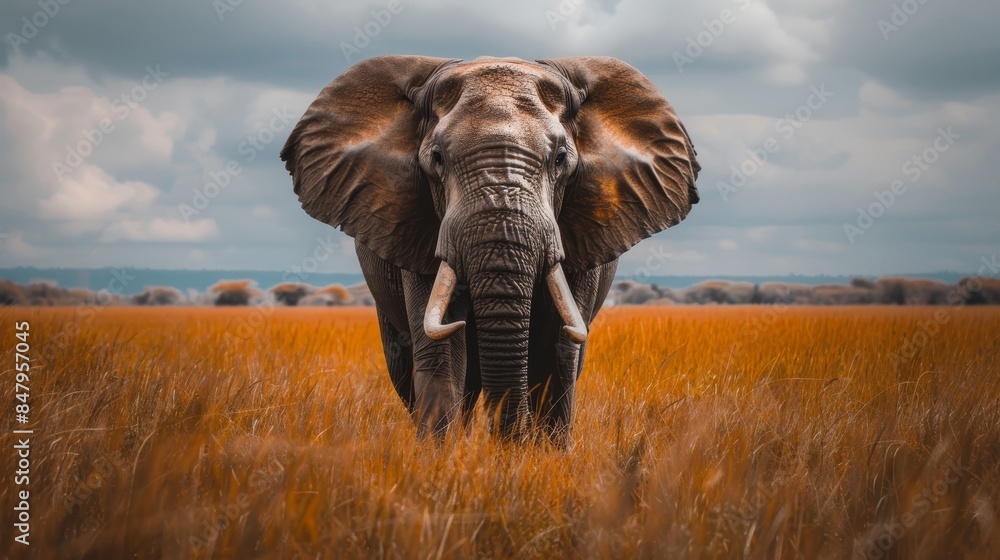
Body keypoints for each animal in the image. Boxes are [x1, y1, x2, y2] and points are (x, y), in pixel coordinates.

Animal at [280, 55, 700, 445]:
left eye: (561, 159)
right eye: (437, 159)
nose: (509, 441)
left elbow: (559, 353)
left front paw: (539, 460)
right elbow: (443, 352)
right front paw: (443, 460)